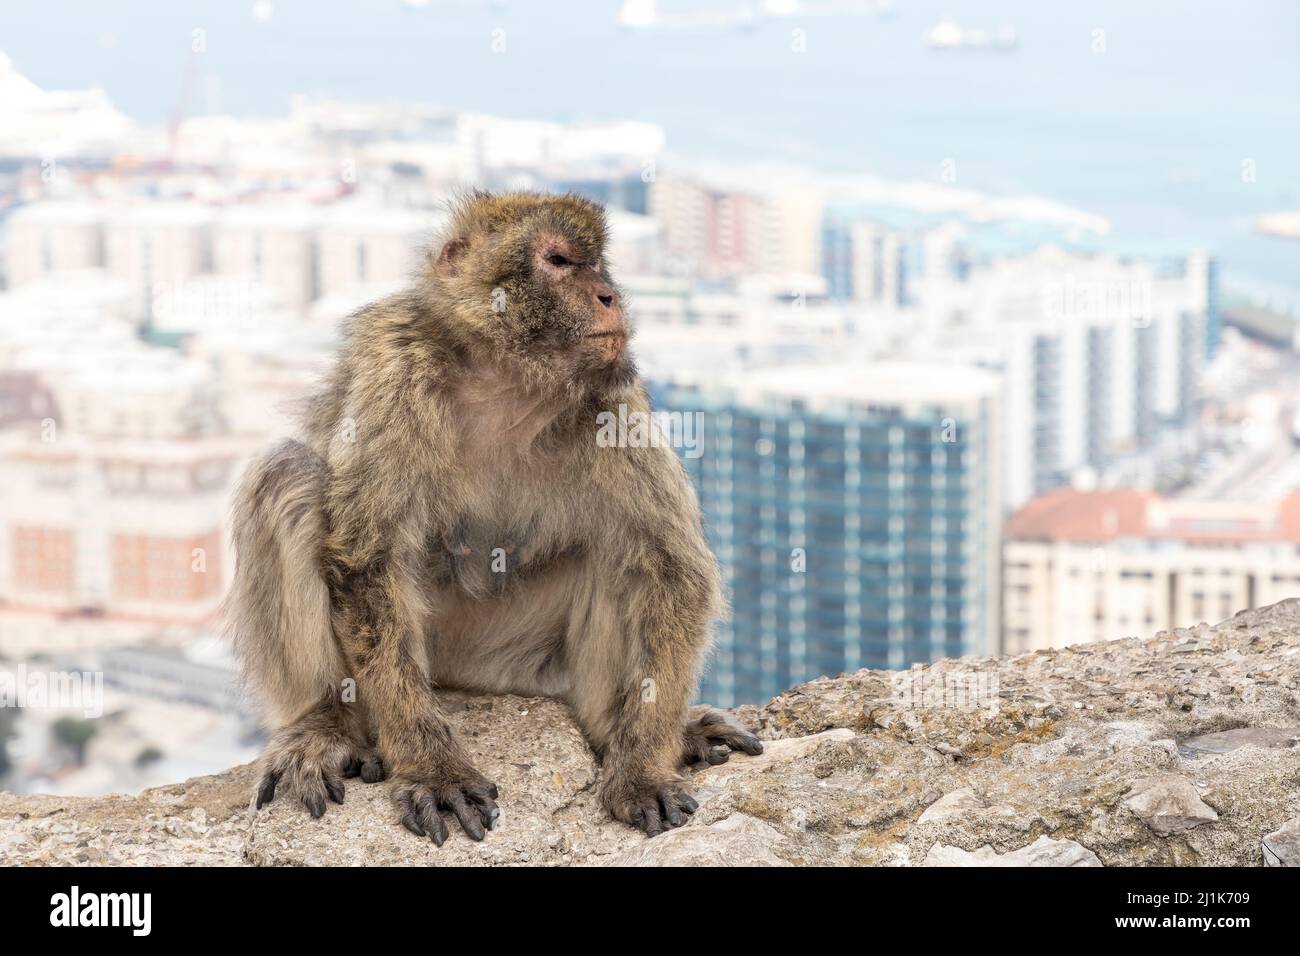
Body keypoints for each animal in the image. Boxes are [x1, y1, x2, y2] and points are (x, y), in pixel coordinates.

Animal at [226, 191, 762, 843]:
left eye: (597, 263)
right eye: (559, 261)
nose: (609, 295)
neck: (507, 380)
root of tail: (465, 680)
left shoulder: (615, 400)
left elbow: (672, 570)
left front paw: (639, 770)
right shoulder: (397, 367)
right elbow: (367, 560)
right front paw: (434, 768)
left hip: (517, 664)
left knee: (622, 552)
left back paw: (614, 730)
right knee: (288, 475)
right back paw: (324, 725)